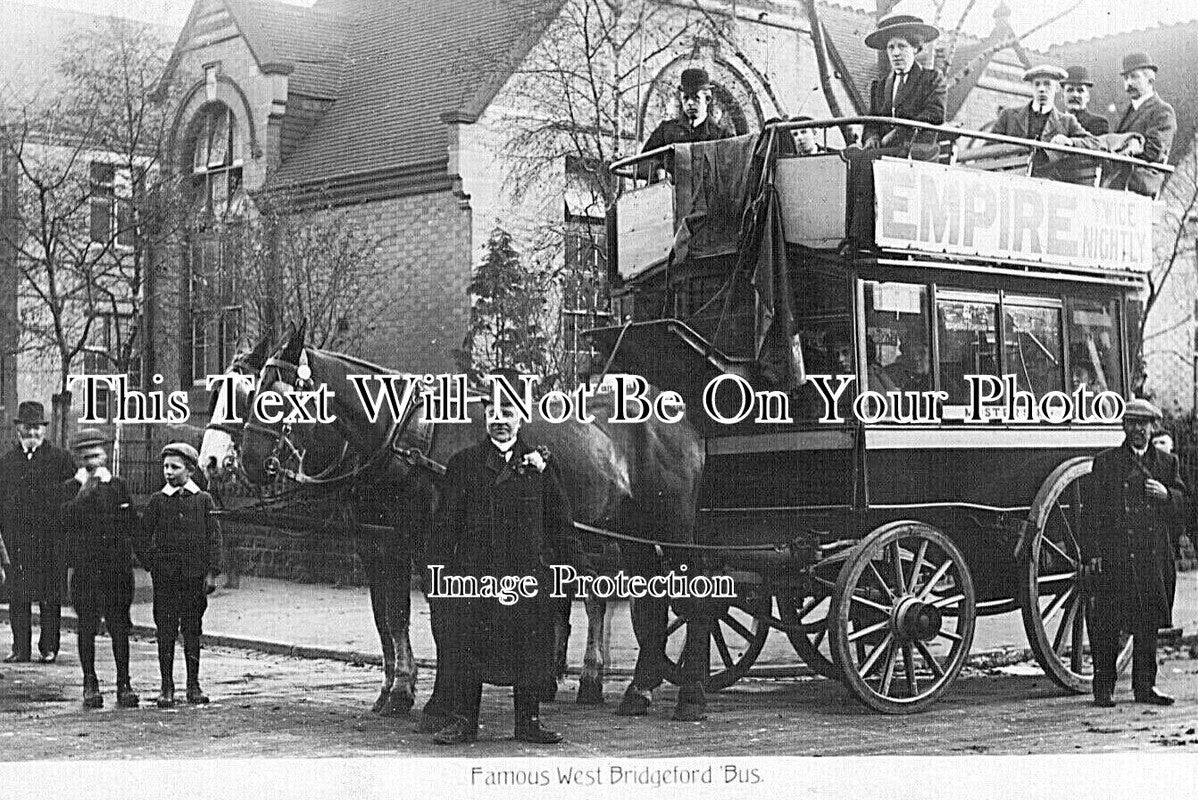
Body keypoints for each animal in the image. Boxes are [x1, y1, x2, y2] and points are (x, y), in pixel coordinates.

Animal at [238, 328, 714, 723]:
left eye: (275, 396)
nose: (247, 462)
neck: (409, 436)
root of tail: (677, 412)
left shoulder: (432, 547)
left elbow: (439, 618)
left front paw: (437, 700)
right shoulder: (387, 545)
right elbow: (392, 616)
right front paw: (400, 692)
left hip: (673, 525)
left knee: (692, 596)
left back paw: (689, 696)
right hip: (629, 529)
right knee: (646, 600)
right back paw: (637, 690)